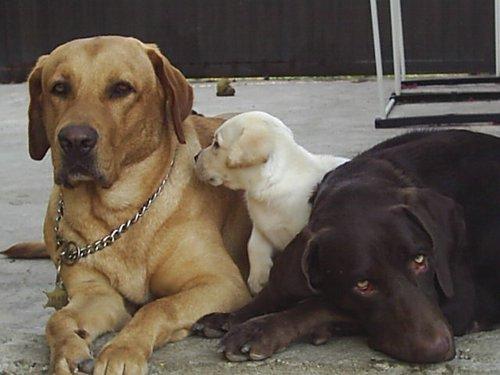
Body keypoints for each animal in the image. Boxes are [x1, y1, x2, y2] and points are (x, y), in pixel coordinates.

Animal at [13, 37, 252, 375]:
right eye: (59, 88)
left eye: (121, 88)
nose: (74, 140)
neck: (117, 213)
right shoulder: (97, 294)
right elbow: (59, 319)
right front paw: (68, 351)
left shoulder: (221, 283)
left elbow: (158, 306)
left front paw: (122, 349)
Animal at [193, 111, 350, 294]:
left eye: (216, 144)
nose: (195, 157)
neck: (271, 185)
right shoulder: (261, 226)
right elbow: (253, 245)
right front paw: (258, 278)